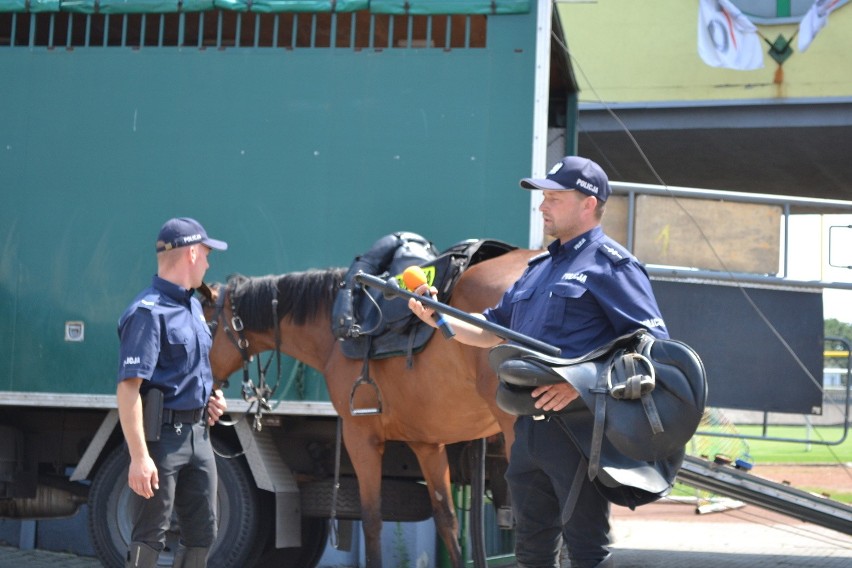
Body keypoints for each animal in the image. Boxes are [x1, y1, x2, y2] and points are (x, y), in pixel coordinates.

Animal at [203, 250, 536, 568]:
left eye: (206, 323)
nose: (208, 390)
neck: (335, 325)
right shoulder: (427, 444)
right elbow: (447, 520)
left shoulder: (360, 437)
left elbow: (372, 520)